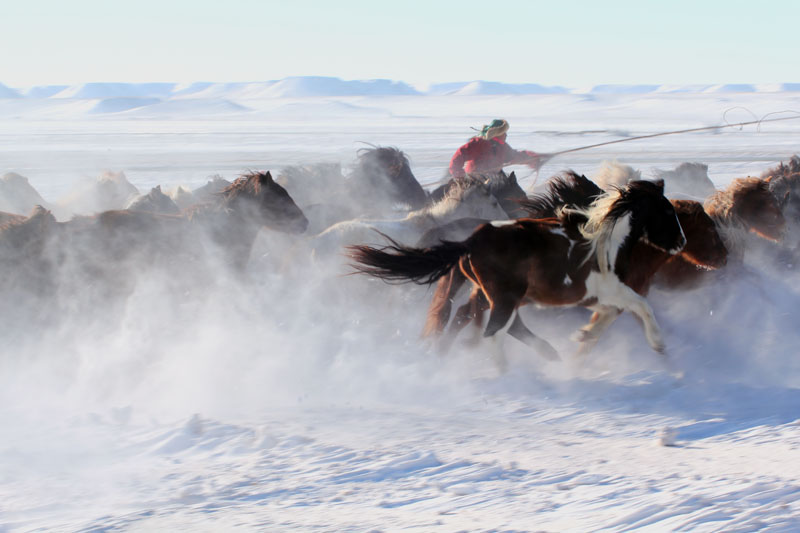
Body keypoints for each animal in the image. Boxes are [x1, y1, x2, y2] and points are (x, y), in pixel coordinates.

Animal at [350, 180, 688, 362]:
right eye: (667, 211)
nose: (681, 242)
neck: (607, 241)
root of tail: (471, 241)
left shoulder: (600, 295)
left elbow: (610, 314)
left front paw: (583, 335)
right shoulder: (612, 289)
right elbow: (641, 306)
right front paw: (658, 344)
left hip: (498, 294)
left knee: (474, 318)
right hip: (506, 296)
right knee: (494, 327)